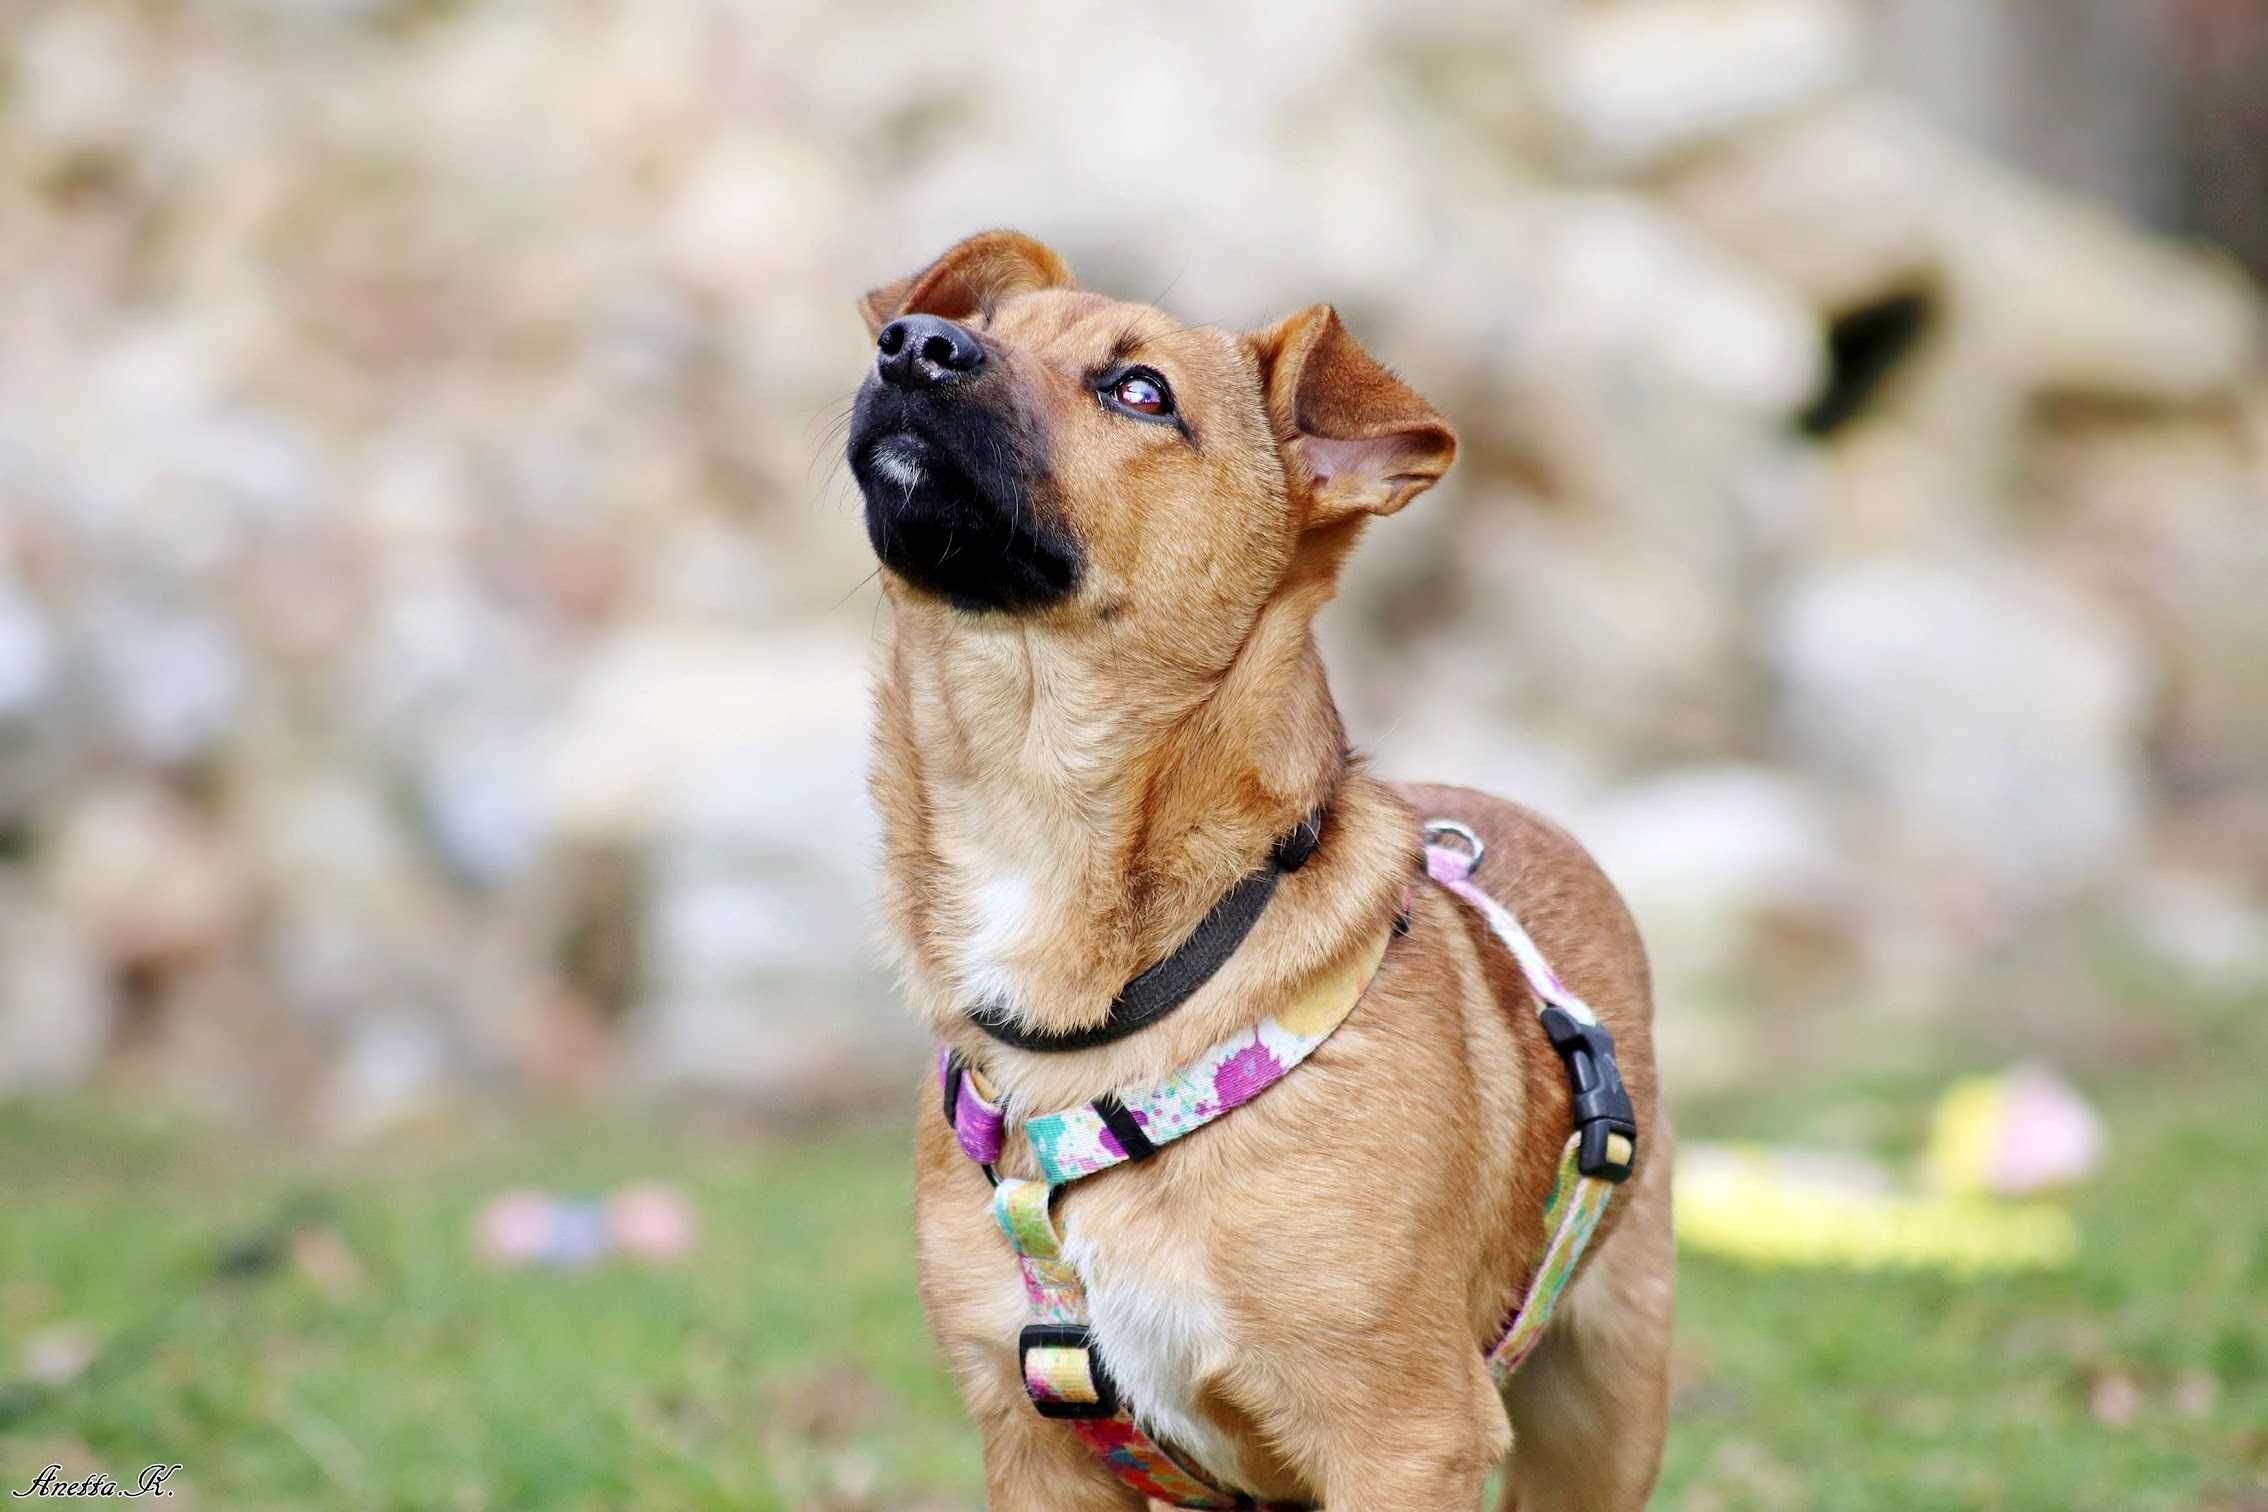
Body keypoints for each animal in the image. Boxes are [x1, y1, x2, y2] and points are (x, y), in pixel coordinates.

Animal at [848, 231, 1669, 1505]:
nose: (914, 344)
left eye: (1141, 392)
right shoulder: (1034, 1442)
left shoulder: (1406, 1438)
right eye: (976, 329)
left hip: (1604, 1404)